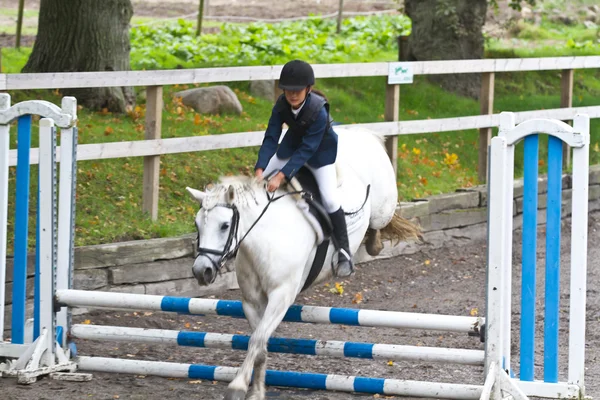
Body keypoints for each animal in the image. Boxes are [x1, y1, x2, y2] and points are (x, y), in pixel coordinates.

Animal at [185, 126, 420, 400]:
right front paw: (257, 391)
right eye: (197, 224)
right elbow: (260, 343)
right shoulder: (252, 301)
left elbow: (257, 340)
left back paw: (368, 248)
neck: (264, 240)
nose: (201, 271)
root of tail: (364, 132)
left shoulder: (281, 296)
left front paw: (237, 386)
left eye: (224, 225)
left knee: (378, 225)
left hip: (383, 207)